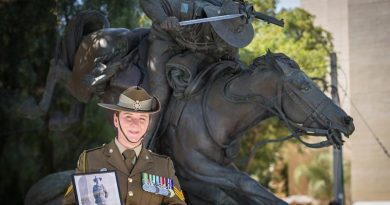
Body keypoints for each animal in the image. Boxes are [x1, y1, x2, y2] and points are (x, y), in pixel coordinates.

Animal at [158, 52, 354, 204]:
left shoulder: (220, 165)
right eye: (304, 86)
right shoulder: (193, 163)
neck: (213, 113)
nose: (347, 121)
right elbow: (245, 182)